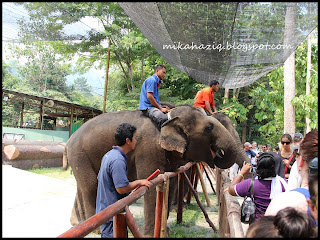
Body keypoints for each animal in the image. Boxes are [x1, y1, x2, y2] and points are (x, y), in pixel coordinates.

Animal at [63, 105, 249, 236]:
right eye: (209, 128)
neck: (169, 117)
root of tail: (69, 140)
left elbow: (170, 180)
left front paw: (167, 231)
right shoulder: (148, 148)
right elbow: (152, 183)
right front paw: (151, 234)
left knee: (84, 184)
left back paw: (77, 223)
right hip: (79, 153)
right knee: (91, 186)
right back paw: (95, 229)